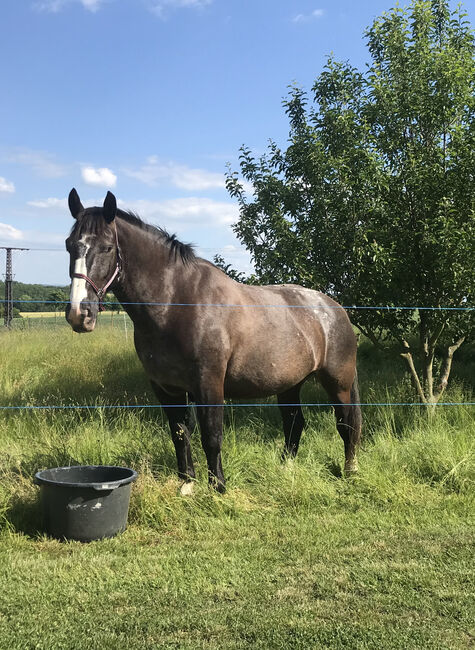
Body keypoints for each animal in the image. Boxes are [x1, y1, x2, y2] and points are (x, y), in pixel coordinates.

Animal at [63, 187, 360, 492]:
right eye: (69, 245)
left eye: (107, 248)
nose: (79, 314)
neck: (177, 304)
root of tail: (334, 309)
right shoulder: (165, 388)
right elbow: (179, 433)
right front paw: (187, 484)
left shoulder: (209, 383)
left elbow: (211, 435)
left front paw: (218, 487)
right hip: (290, 384)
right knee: (294, 423)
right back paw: (285, 469)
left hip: (338, 382)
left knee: (346, 422)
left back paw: (350, 472)